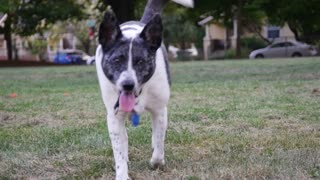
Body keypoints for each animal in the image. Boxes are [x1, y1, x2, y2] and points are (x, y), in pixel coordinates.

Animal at [95, 0, 192, 179]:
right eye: (117, 60)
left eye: (140, 61)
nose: (128, 84)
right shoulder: (114, 116)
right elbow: (119, 150)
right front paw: (122, 173)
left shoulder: (160, 110)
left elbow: (159, 141)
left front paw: (156, 162)